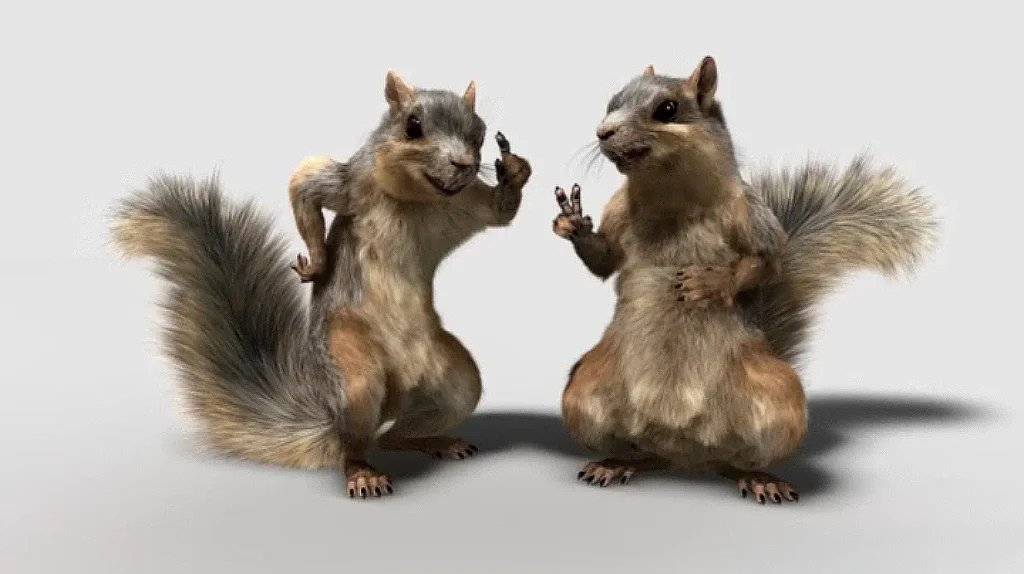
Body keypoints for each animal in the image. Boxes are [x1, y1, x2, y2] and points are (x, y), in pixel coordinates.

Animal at [110, 70, 532, 499]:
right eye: (412, 126)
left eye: (479, 132)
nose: (463, 164)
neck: (416, 199)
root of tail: (393, 399)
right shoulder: (351, 182)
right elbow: (304, 185)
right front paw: (317, 264)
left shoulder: (465, 202)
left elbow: (499, 211)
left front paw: (515, 169)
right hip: (352, 369)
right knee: (358, 442)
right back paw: (363, 473)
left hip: (455, 381)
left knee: (395, 435)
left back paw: (438, 442)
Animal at [552, 56, 939, 504]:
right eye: (611, 102)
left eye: (667, 109)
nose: (603, 131)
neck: (670, 198)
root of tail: (685, 457)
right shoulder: (617, 212)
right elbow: (604, 261)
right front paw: (572, 222)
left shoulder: (750, 212)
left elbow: (767, 262)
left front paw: (710, 285)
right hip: (583, 393)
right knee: (636, 451)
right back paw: (615, 463)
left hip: (780, 402)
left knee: (740, 460)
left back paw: (760, 479)